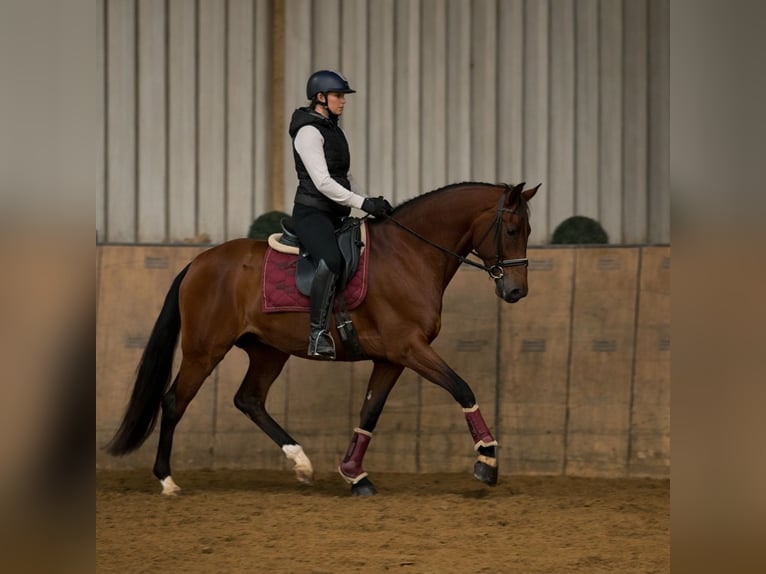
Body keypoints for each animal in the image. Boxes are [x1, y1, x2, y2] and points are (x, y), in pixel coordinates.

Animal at [105, 181, 539, 496]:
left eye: (528, 230)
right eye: (511, 230)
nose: (517, 291)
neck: (409, 255)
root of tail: (198, 263)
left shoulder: (391, 358)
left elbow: (369, 412)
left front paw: (353, 473)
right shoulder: (410, 347)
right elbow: (462, 388)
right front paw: (487, 461)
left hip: (268, 352)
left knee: (249, 400)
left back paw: (301, 463)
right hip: (204, 351)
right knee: (174, 402)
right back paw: (167, 480)